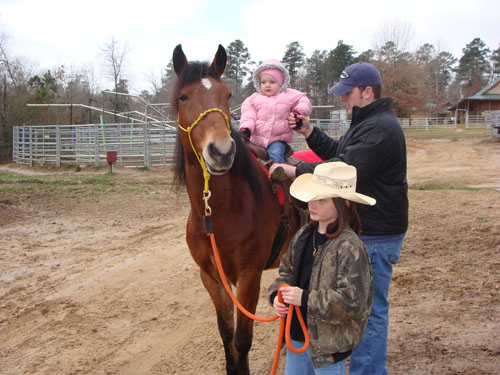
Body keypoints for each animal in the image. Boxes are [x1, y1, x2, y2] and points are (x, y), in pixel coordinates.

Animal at [171, 44, 300, 375]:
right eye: (183, 97)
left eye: (227, 95)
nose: (221, 152)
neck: (220, 214)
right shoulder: (211, 277)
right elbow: (226, 332)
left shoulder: (248, 276)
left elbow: (242, 338)